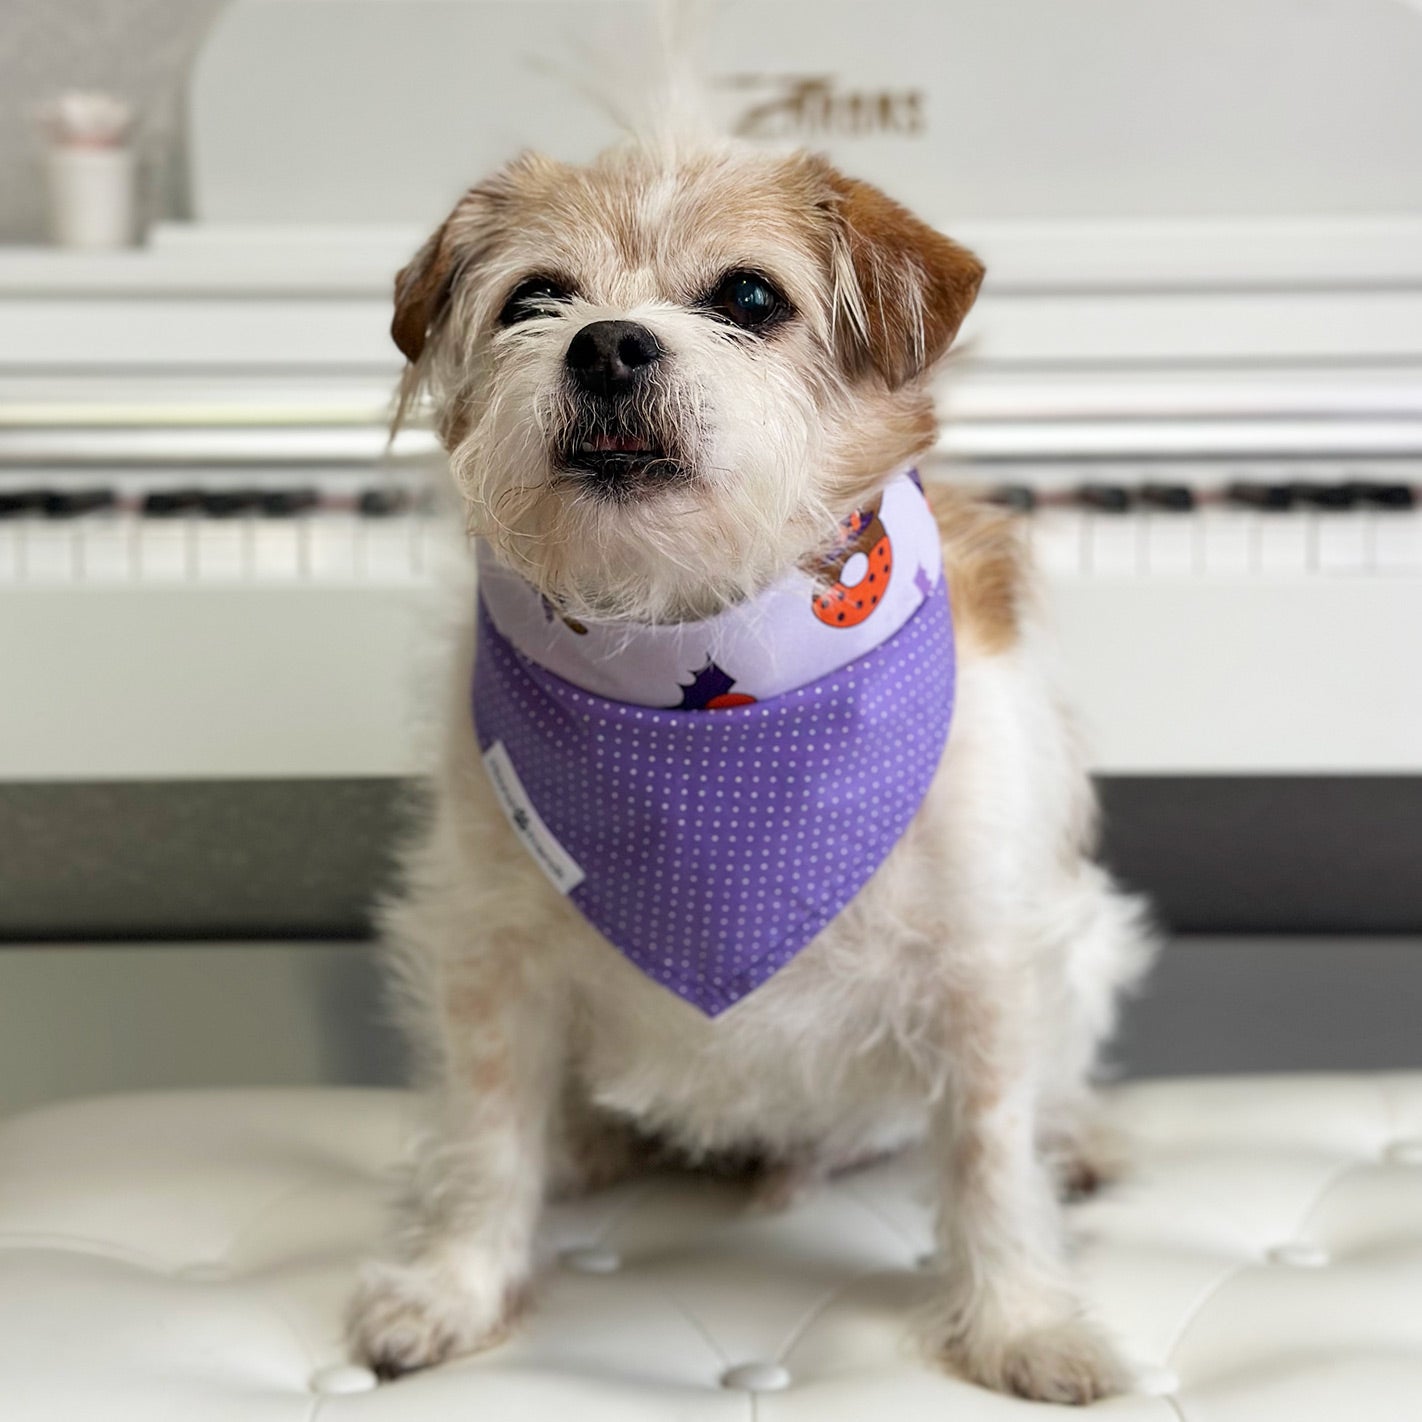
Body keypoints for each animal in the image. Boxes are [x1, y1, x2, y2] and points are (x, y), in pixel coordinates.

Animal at [344, 130, 1154, 1399]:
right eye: (534, 299)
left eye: (749, 298)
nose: (607, 342)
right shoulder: (487, 952)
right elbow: (484, 1137)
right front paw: (453, 1288)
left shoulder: (982, 964)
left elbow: (989, 1157)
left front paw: (1022, 1324)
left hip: (1087, 939)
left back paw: (1078, 1140)